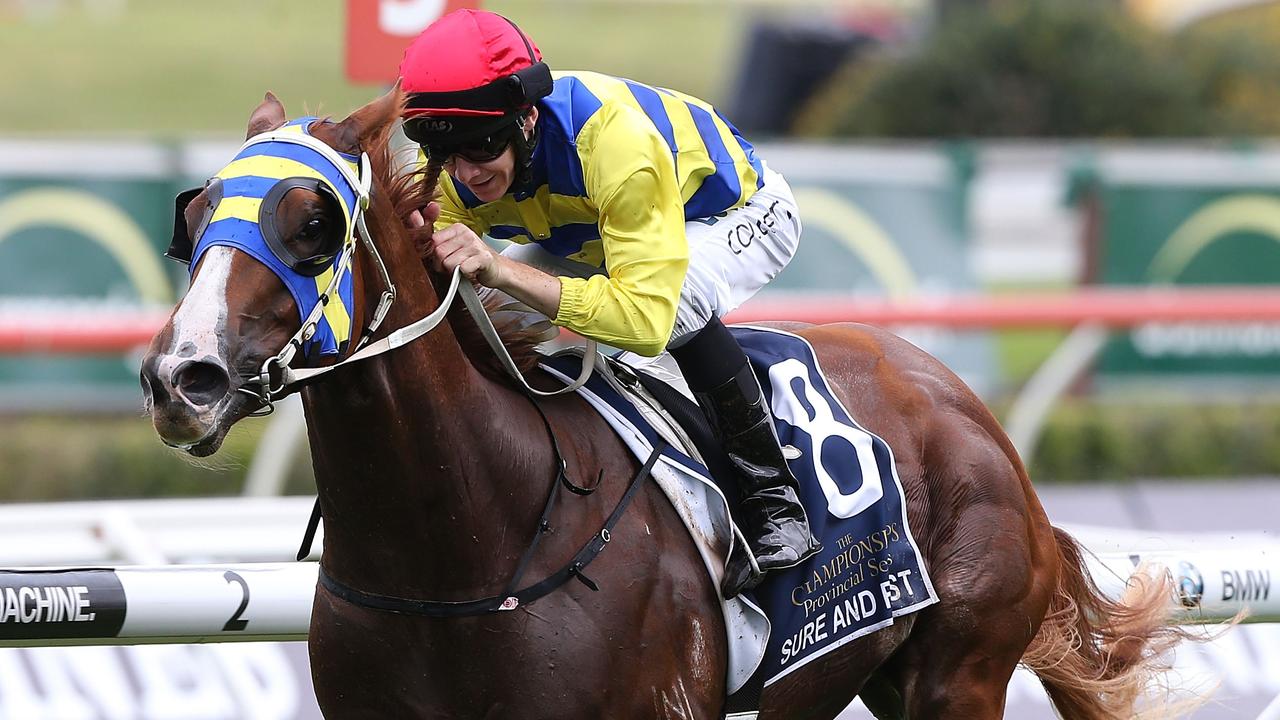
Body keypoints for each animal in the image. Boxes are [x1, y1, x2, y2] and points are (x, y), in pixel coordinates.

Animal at [142, 89, 1187, 717]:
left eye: (313, 223)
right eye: (192, 219)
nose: (182, 378)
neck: (462, 545)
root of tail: (970, 410)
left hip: (958, 676)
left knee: (685, 310)